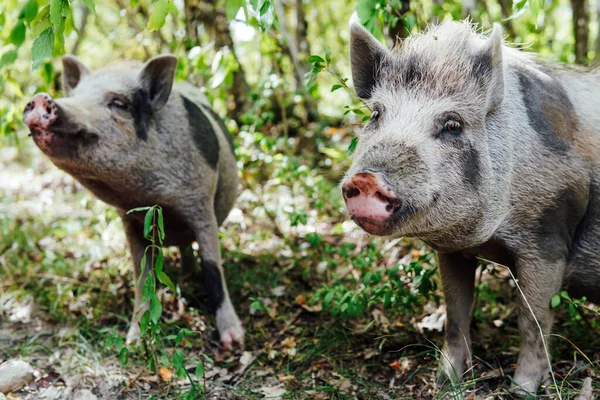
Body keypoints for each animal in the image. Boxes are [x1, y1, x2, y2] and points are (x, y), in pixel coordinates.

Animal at [23, 54, 244, 348]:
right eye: (76, 95)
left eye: (119, 103)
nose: (40, 98)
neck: (152, 198)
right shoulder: (128, 218)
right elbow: (141, 277)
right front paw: (134, 340)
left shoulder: (202, 201)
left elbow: (213, 270)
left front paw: (235, 341)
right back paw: (184, 275)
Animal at [342, 21, 600, 394]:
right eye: (376, 114)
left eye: (452, 124)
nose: (366, 178)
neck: (490, 236)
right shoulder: (452, 250)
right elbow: (455, 311)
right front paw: (446, 382)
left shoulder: (548, 238)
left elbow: (532, 320)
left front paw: (521, 391)